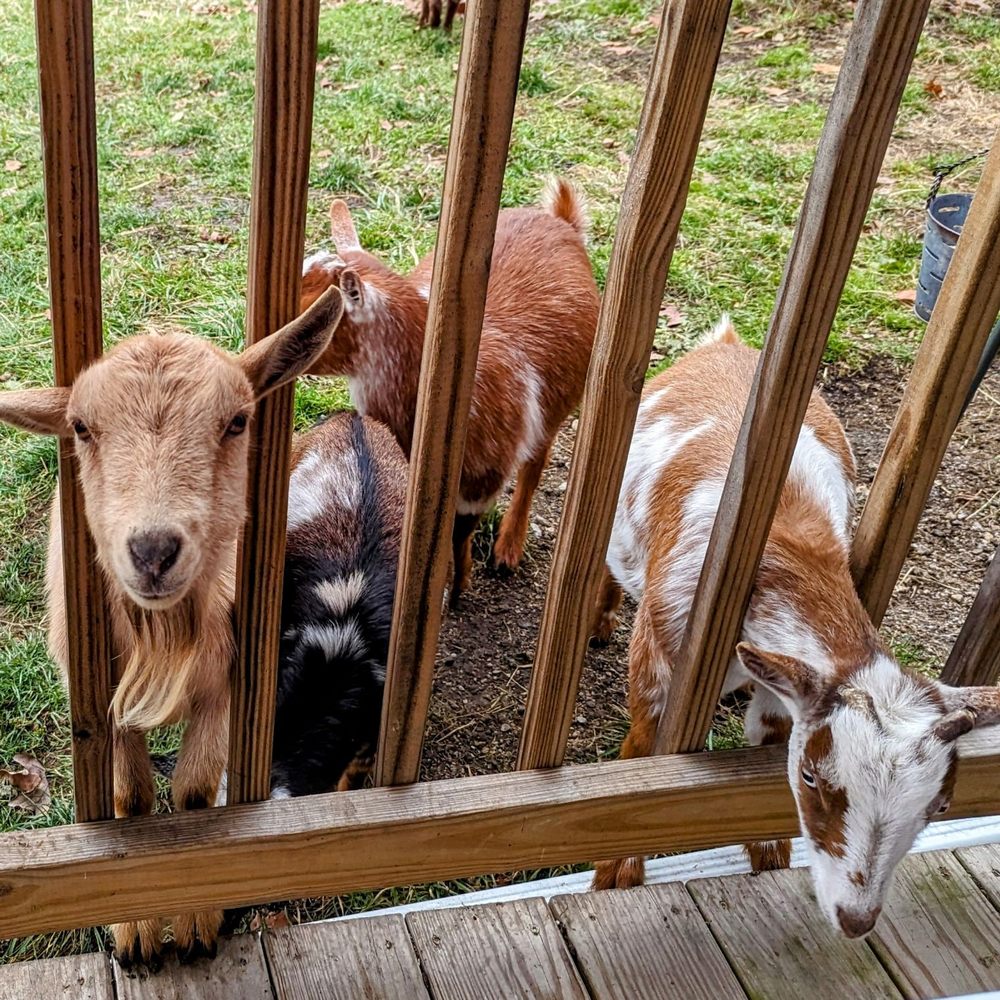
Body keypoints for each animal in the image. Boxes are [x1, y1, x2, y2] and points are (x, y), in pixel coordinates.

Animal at [0, 287, 344, 968]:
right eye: (82, 427)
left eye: (237, 420)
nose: (153, 550)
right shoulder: (98, 697)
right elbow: (130, 798)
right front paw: (135, 934)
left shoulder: (227, 683)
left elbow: (193, 794)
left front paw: (194, 926)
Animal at [299, 179, 600, 602]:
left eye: (319, 312)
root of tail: (561, 219)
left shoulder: (483, 478)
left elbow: (460, 530)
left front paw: (458, 586)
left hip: (557, 405)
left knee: (536, 463)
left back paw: (508, 549)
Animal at [593, 318, 1000, 938]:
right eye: (812, 779)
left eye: (940, 806)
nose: (856, 918)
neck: (778, 554)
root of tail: (727, 343)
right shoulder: (657, 668)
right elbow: (641, 761)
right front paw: (615, 876)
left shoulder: (782, 694)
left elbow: (762, 756)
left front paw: (768, 858)